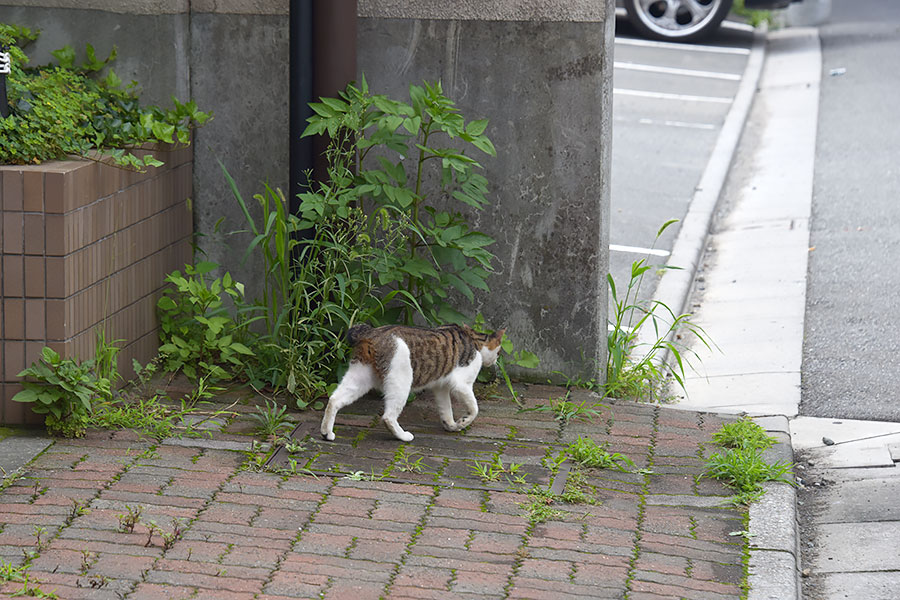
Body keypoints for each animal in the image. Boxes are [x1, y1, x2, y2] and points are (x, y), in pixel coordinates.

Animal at [322, 326, 506, 442]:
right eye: (499, 352)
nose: (496, 361)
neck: (474, 340)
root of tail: (371, 332)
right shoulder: (461, 384)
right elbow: (474, 408)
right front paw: (464, 421)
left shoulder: (441, 387)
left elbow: (446, 409)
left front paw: (451, 425)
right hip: (401, 381)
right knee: (388, 417)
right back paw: (403, 436)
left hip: (359, 377)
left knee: (334, 400)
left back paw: (326, 433)